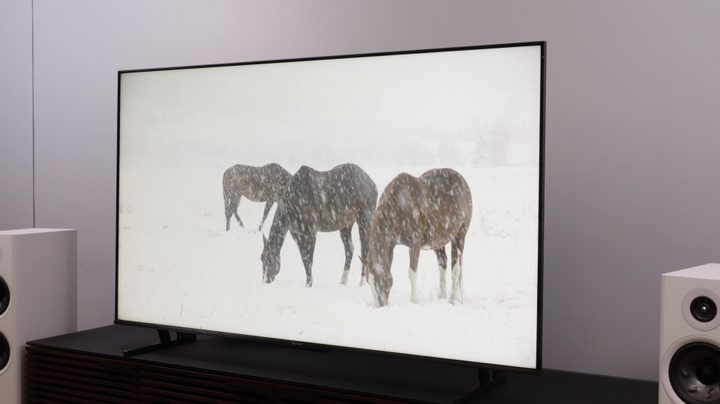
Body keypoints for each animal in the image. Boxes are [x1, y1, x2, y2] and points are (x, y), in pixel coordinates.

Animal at [367, 168, 472, 307]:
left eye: (378, 281)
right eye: (369, 282)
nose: (380, 306)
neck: (397, 206)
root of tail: (463, 181)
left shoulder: (414, 245)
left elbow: (412, 273)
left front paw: (414, 301)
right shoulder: (391, 246)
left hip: (460, 235)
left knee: (456, 269)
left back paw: (452, 300)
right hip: (438, 241)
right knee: (443, 264)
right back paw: (443, 297)